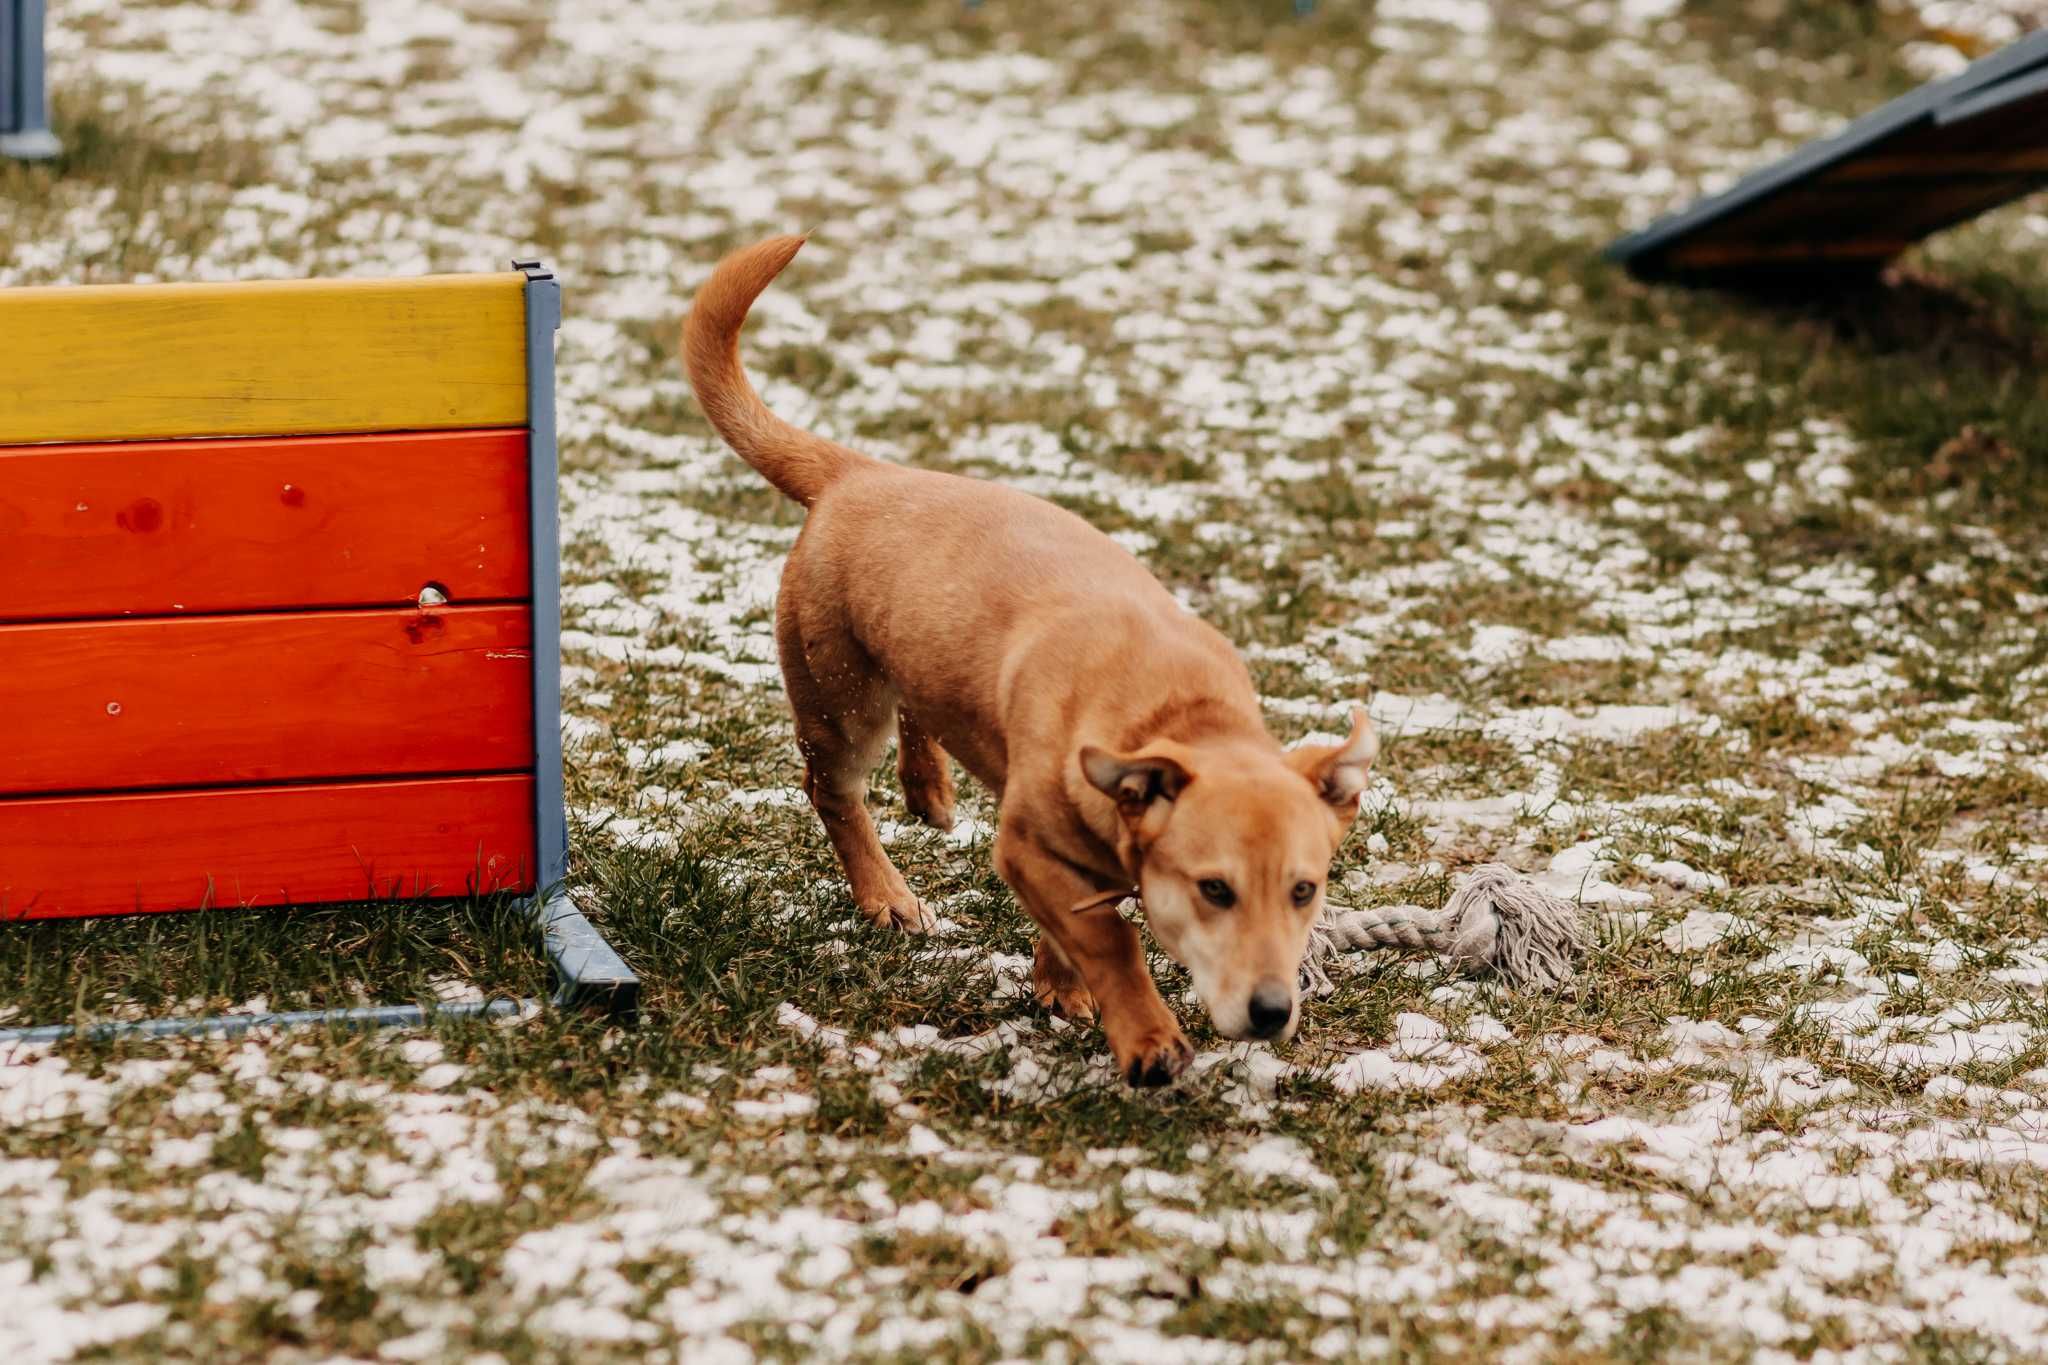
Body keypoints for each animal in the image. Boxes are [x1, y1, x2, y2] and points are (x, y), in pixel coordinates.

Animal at [684, 237, 1376, 1088]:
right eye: (1215, 889)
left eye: (1304, 890)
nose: (1275, 1010)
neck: (1173, 708)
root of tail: (858, 474)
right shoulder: (1026, 846)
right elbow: (1110, 937)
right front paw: (1144, 1036)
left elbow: (1083, 918)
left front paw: (1061, 982)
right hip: (841, 699)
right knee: (834, 791)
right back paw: (886, 895)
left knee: (920, 707)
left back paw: (931, 787)